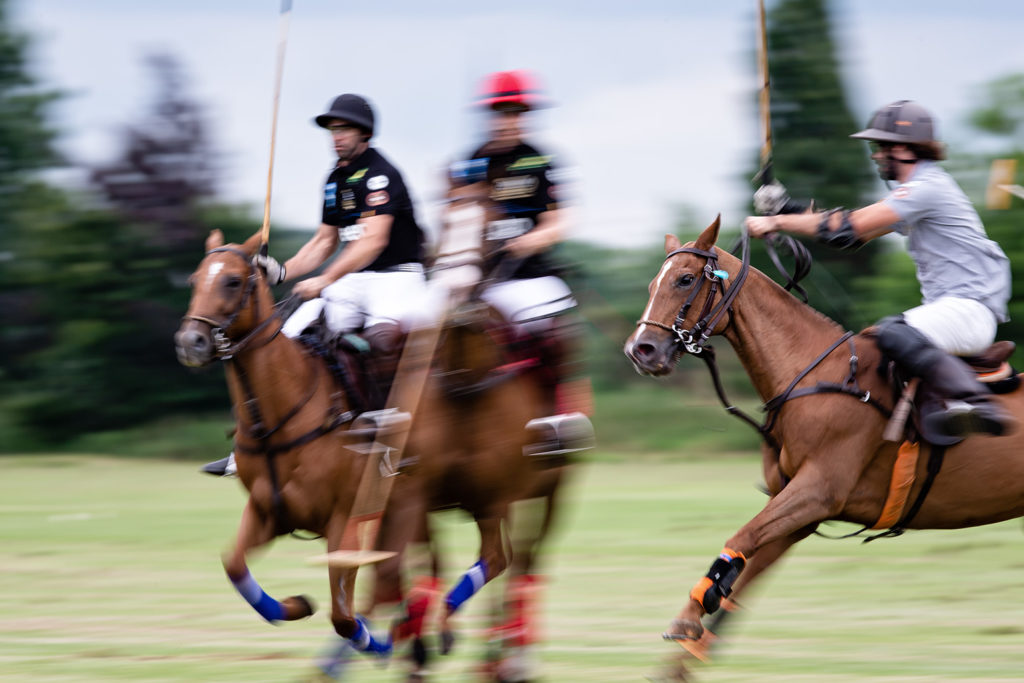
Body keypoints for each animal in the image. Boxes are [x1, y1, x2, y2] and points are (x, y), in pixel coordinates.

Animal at [618, 220, 1024, 671]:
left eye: (685, 279)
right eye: (652, 284)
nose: (640, 350)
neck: (811, 374)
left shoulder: (818, 491)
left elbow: (742, 538)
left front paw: (687, 617)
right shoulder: (799, 512)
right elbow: (740, 580)